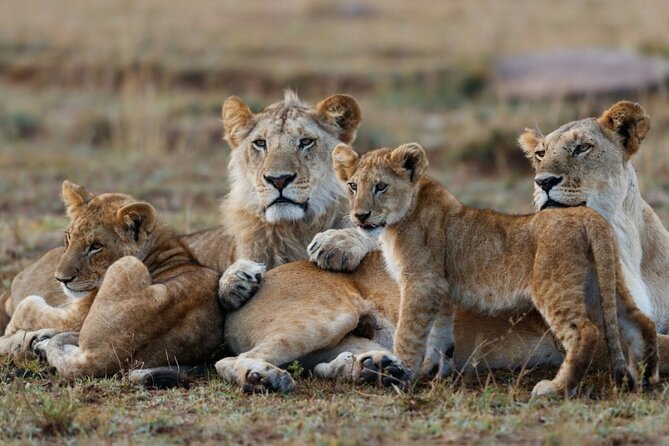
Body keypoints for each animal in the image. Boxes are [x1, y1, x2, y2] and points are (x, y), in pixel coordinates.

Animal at [0, 181, 223, 379]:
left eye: (95, 246)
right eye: (68, 238)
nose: (61, 279)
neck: (162, 249)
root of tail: (104, 356)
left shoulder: (77, 316)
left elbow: (29, 309)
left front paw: (13, 331)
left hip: (129, 264)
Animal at [332, 141, 658, 396]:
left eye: (380, 187)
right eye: (353, 186)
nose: (360, 216)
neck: (401, 217)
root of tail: (586, 215)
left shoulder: (420, 283)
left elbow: (409, 333)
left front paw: (400, 372)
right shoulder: (440, 288)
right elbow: (439, 334)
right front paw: (432, 371)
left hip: (553, 285)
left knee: (585, 332)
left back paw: (555, 389)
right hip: (605, 281)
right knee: (640, 321)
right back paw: (646, 378)